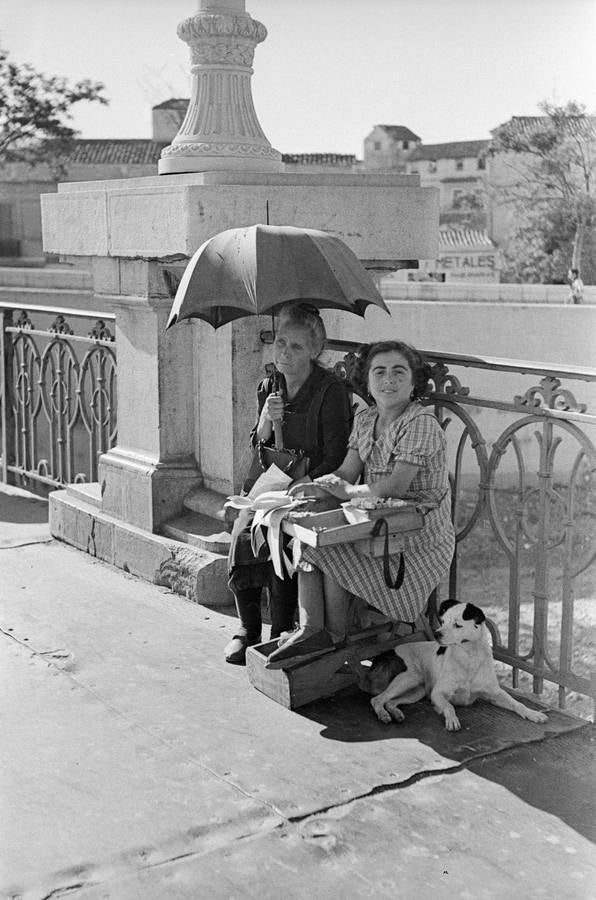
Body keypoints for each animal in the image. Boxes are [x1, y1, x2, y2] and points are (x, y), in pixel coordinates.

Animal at [366, 596, 548, 732]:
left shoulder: (495, 694)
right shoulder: (437, 693)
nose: (436, 634)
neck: (469, 656)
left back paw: (396, 713)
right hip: (410, 678)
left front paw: (533, 713)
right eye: (442, 621)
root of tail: (387, 652)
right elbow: (449, 706)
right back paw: (383, 715)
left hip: (417, 690)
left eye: (457, 625)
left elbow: (518, 703)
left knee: (390, 701)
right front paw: (452, 720)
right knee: (377, 700)